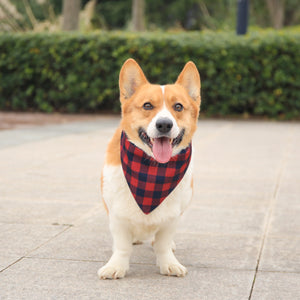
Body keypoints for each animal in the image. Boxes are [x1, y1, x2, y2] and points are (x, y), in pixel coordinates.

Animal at [98, 58, 202, 278]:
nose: (164, 125)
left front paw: (168, 264)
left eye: (178, 106)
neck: (152, 170)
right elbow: (122, 246)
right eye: (147, 105)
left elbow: (163, 244)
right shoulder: (117, 216)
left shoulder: (171, 217)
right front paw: (116, 266)